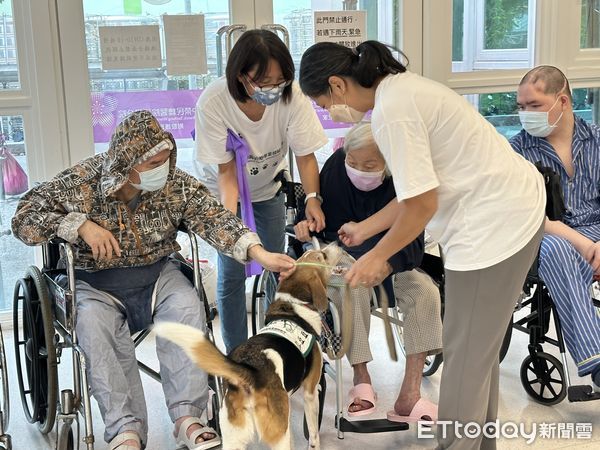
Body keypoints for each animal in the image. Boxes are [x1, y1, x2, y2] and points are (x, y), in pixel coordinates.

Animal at [155, 244, 342, 448]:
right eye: (323, 256)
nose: (335, 244)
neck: (294, 303)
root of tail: (248, 373)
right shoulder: (310, 392)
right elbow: (314, 433)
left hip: (233, 435)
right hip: (280, 435)